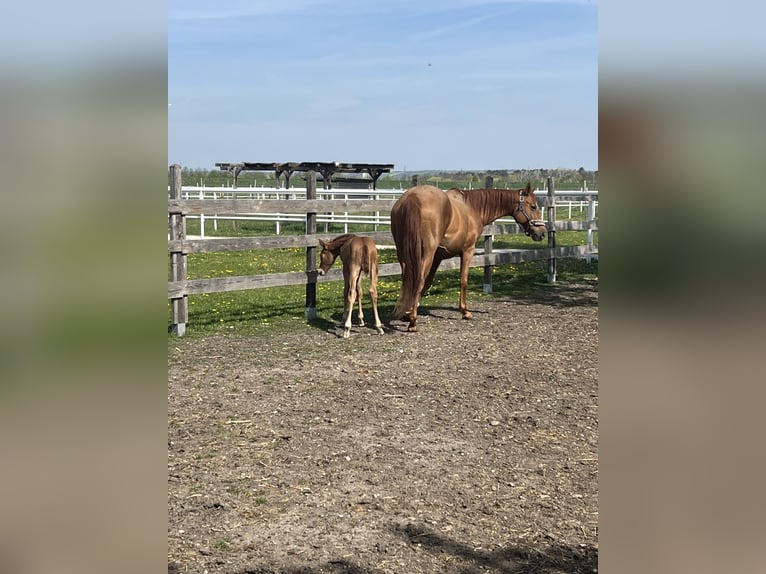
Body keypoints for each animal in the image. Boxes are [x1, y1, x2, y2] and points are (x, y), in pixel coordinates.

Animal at [390, 183, 547, 332]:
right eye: (533, 206)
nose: (542, 233)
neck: (472, 208)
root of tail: (413, 197)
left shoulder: (438, 257)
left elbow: (428, 282)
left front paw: (408, 312)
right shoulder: (467, 251)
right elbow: (463, 281)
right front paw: (465, 312)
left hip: (403, 254)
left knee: (408, 280)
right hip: (426, 253)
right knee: (418, 281)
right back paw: (413, 323)